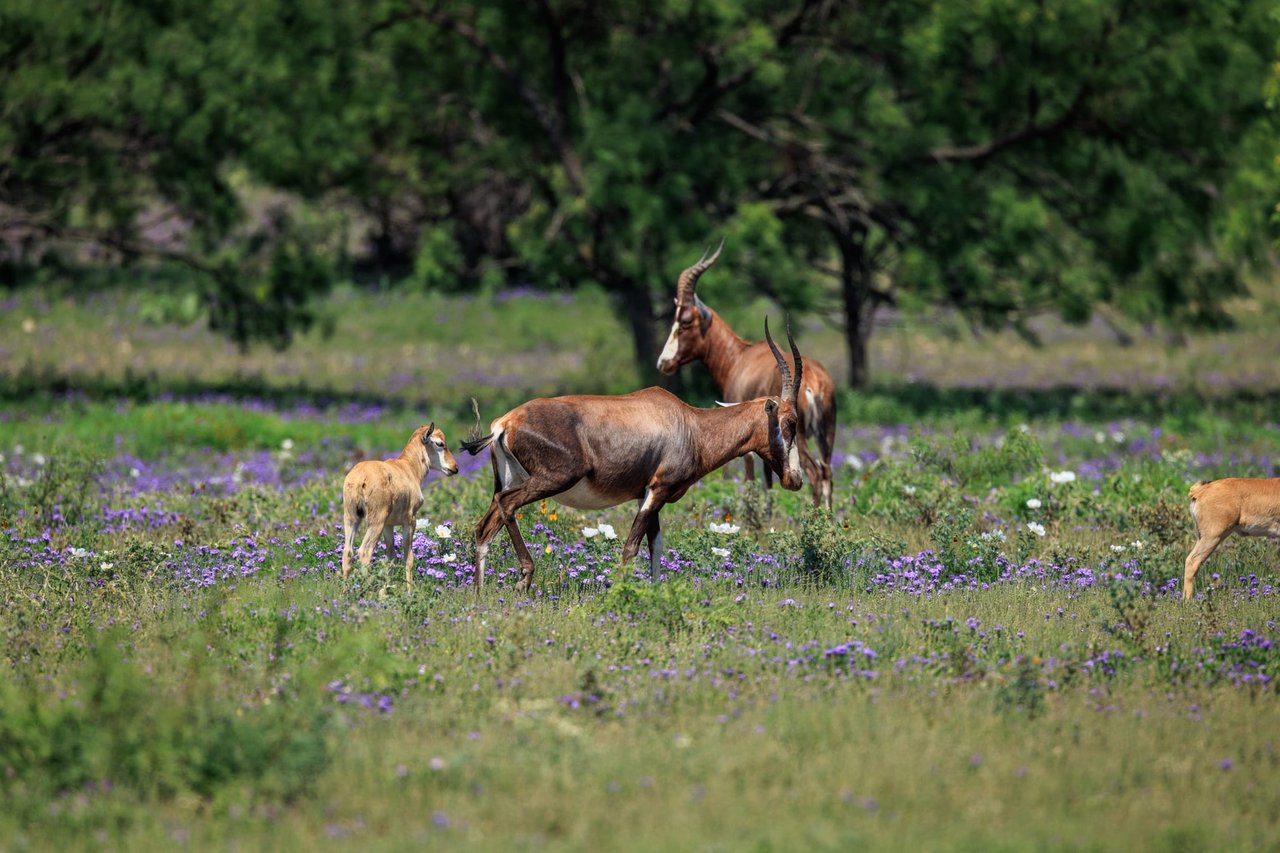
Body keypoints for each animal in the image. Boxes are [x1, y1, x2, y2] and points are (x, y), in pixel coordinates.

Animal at [340, 420, 460, 591]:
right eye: (440, 443)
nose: (454, 467)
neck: (406, 467)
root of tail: (359, 477)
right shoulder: (410, 521)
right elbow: (408, 557)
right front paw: (409, 591)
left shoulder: (388, 525)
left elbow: (391, 557)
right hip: (375, 523)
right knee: (364, 552)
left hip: (352, 519)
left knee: (347, 552)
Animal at [460, 318, 803, 591]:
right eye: (791, 422)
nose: (795, 480)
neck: (690, 422)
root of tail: (505, 422)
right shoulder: (659, 490)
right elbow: (631, 548)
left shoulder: (646, 495)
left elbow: (656, 547)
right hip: (553, 479)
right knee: (507, 504)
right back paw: (524, 578)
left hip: (510, 479)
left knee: (484, 527)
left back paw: (479, 596)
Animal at [660, 239, 839, 507]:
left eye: (685, 321)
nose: (664, 362)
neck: (740, 356)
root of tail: (815, 383)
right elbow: (767, 485)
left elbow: (750, 482)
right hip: (827, 436)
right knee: (827, 473)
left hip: (805, 439)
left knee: (816, 474)